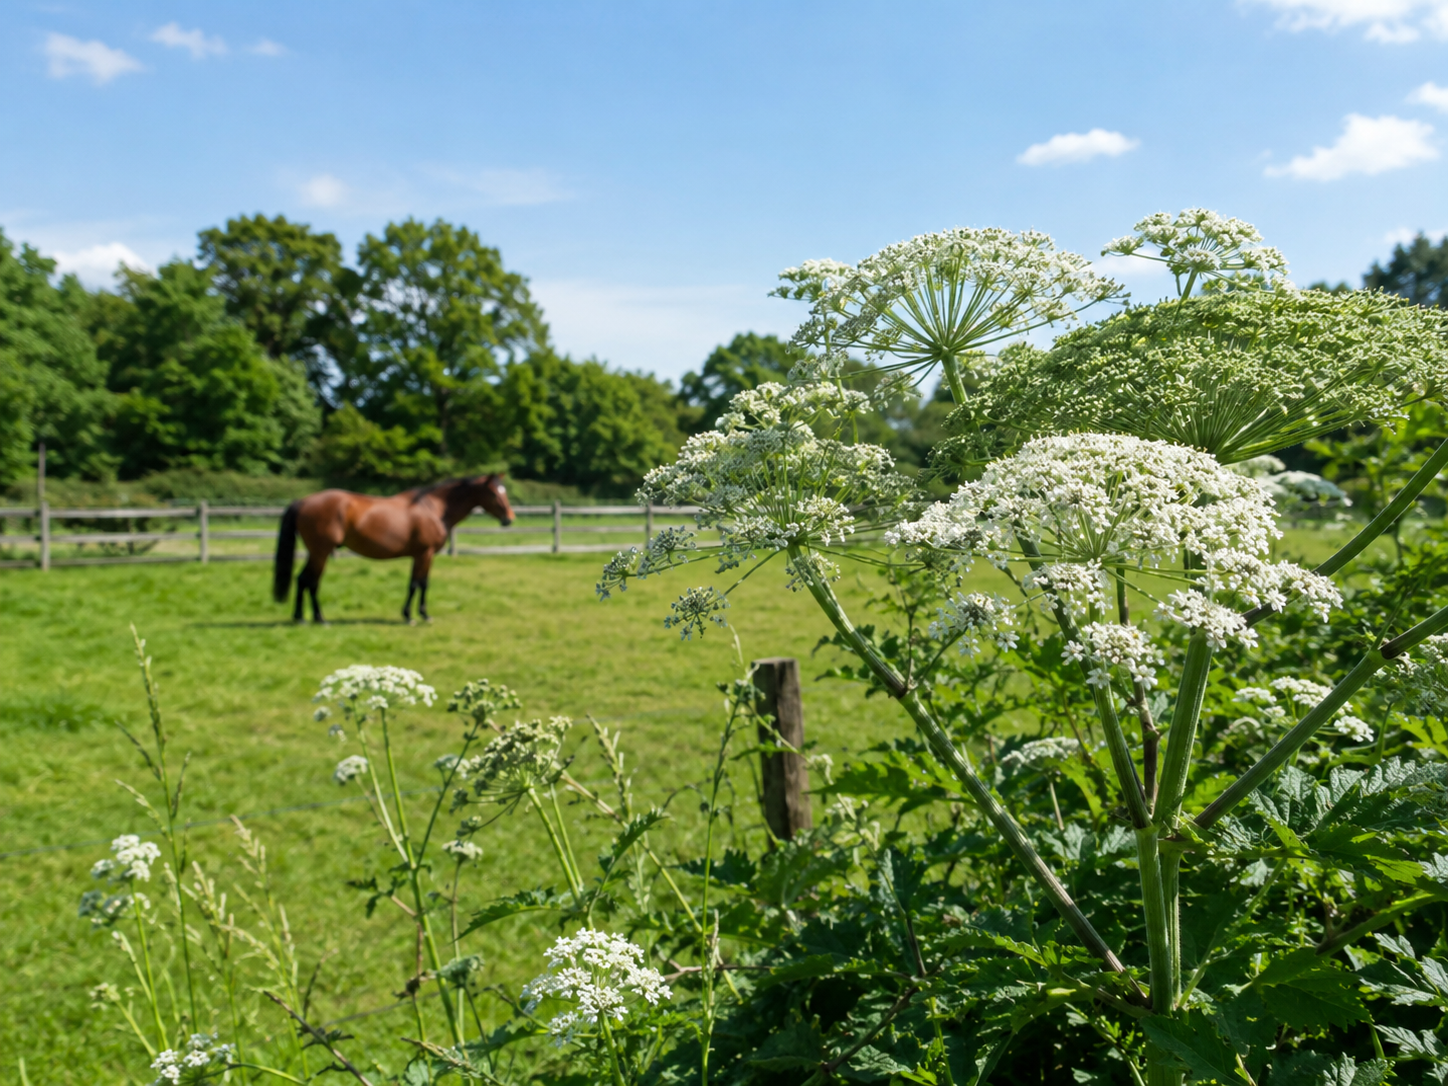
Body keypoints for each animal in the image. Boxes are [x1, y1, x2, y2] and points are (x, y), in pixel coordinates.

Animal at [272, 474, 514, 624]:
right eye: (494, 493)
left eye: (504, 491)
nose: (509, 519)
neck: (433, 509)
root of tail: (303, 502)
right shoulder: (424, 554)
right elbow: (418, 584)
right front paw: (414, 616)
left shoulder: (420, 556)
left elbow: (418, 584)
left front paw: (417, 614)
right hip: (320, 552)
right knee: (311, 582)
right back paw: (319, 619)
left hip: (316, 552)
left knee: (302, 580)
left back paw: (300, 617)